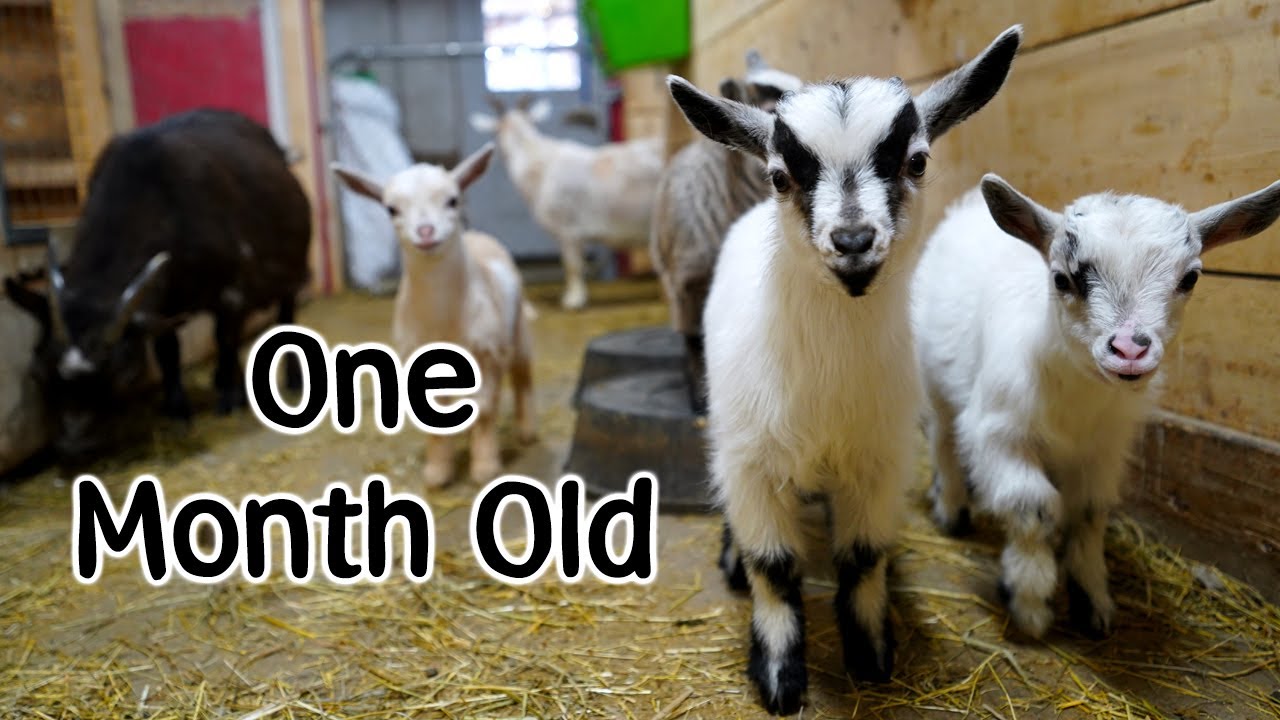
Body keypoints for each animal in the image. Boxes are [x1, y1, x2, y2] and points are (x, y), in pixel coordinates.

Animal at [3, 109, 311, 466]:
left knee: (284, 313)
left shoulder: (232, 285)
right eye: (38, 372)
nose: (74, 446)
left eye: (123, 373)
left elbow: (225, 336)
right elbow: (168, 350)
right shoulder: (165, 303)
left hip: (293, 269)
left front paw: (230, 400)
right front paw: (177, 410)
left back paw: (290, 379)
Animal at [333, 143, 536, 488]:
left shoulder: (488, 354)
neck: (443, 319)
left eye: (452, 199)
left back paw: (526, 431)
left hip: (517, 334)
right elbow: (436, 422)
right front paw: (438, 471)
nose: (426, 232)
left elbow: (485, 411)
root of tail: (477, 237)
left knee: (523, 379)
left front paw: (485, 468)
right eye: (391, 209)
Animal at [667, 27, 1023, 714]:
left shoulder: (878, 463)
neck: (826, 386)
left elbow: (862, 558)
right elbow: (774, 567)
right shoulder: (753, 465)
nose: (854, 241)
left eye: (917, 161)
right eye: (781, 176)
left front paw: (871, 654)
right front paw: (779, 675)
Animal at [913, 174, 1280, 639]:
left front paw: (1092, 600)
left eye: (1191, 277)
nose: (1129, 350)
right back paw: (952, 509)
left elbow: (1088, 513)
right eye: (1061, 279)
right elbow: (1033, 508)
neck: (1075, 396)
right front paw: (1030, 600)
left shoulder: (1103, 450)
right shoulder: (1000, 435)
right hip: (933, 380)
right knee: (942, 438)